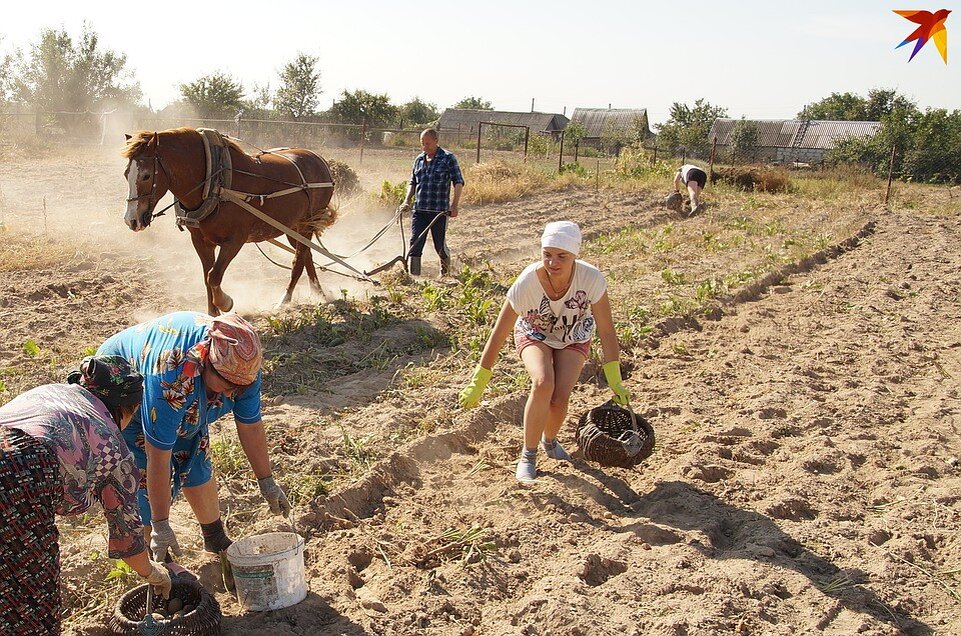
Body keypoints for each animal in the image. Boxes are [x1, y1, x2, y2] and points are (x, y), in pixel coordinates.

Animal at [122, 126, 336, 316]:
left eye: (146, 175)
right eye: (126, 174)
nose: (131, 219)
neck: (214, 182)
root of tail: (320, 160)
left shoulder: (234, 240)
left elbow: (214, 276)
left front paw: (225, 303)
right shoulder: (200, 241)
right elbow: (207, 277)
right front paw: (212, 314)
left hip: (306, 224)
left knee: (298, 261)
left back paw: (285, 301)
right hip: (292, 228)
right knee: (307, 255)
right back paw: (319, 294)